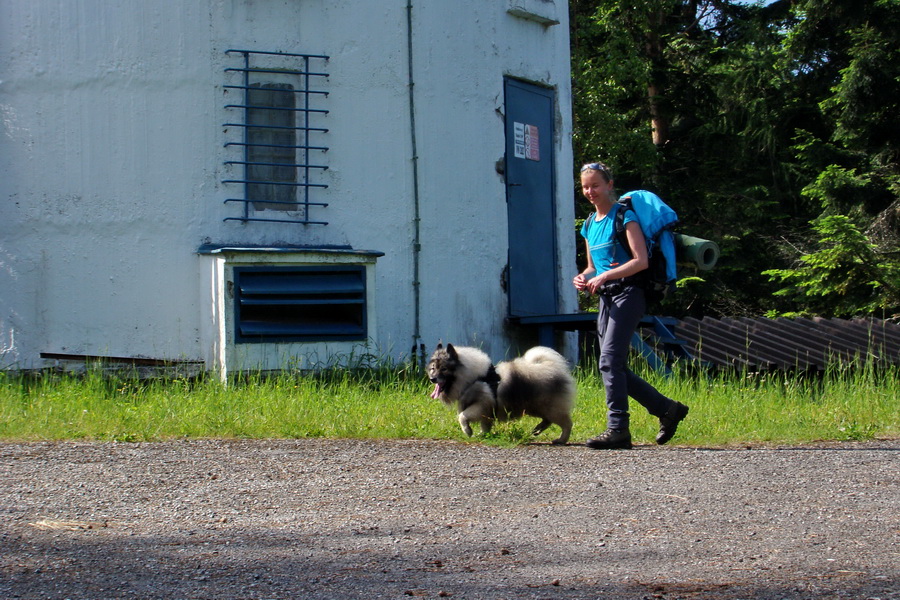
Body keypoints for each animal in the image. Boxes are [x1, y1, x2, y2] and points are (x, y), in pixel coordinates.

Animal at [426, 342, 572, 446]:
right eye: (433, 368)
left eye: (444, 369)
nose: (432, 379)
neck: (473, 377)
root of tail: (553, 367)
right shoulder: (486, 413)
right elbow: (484, 426)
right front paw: (482, 435)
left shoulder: (481, 405)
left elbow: (462, 417)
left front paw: (468, 431)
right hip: (538, 408)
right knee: (548, 421)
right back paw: (537, 429)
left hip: (549, 408)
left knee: (566, 424)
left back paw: (561, 440)